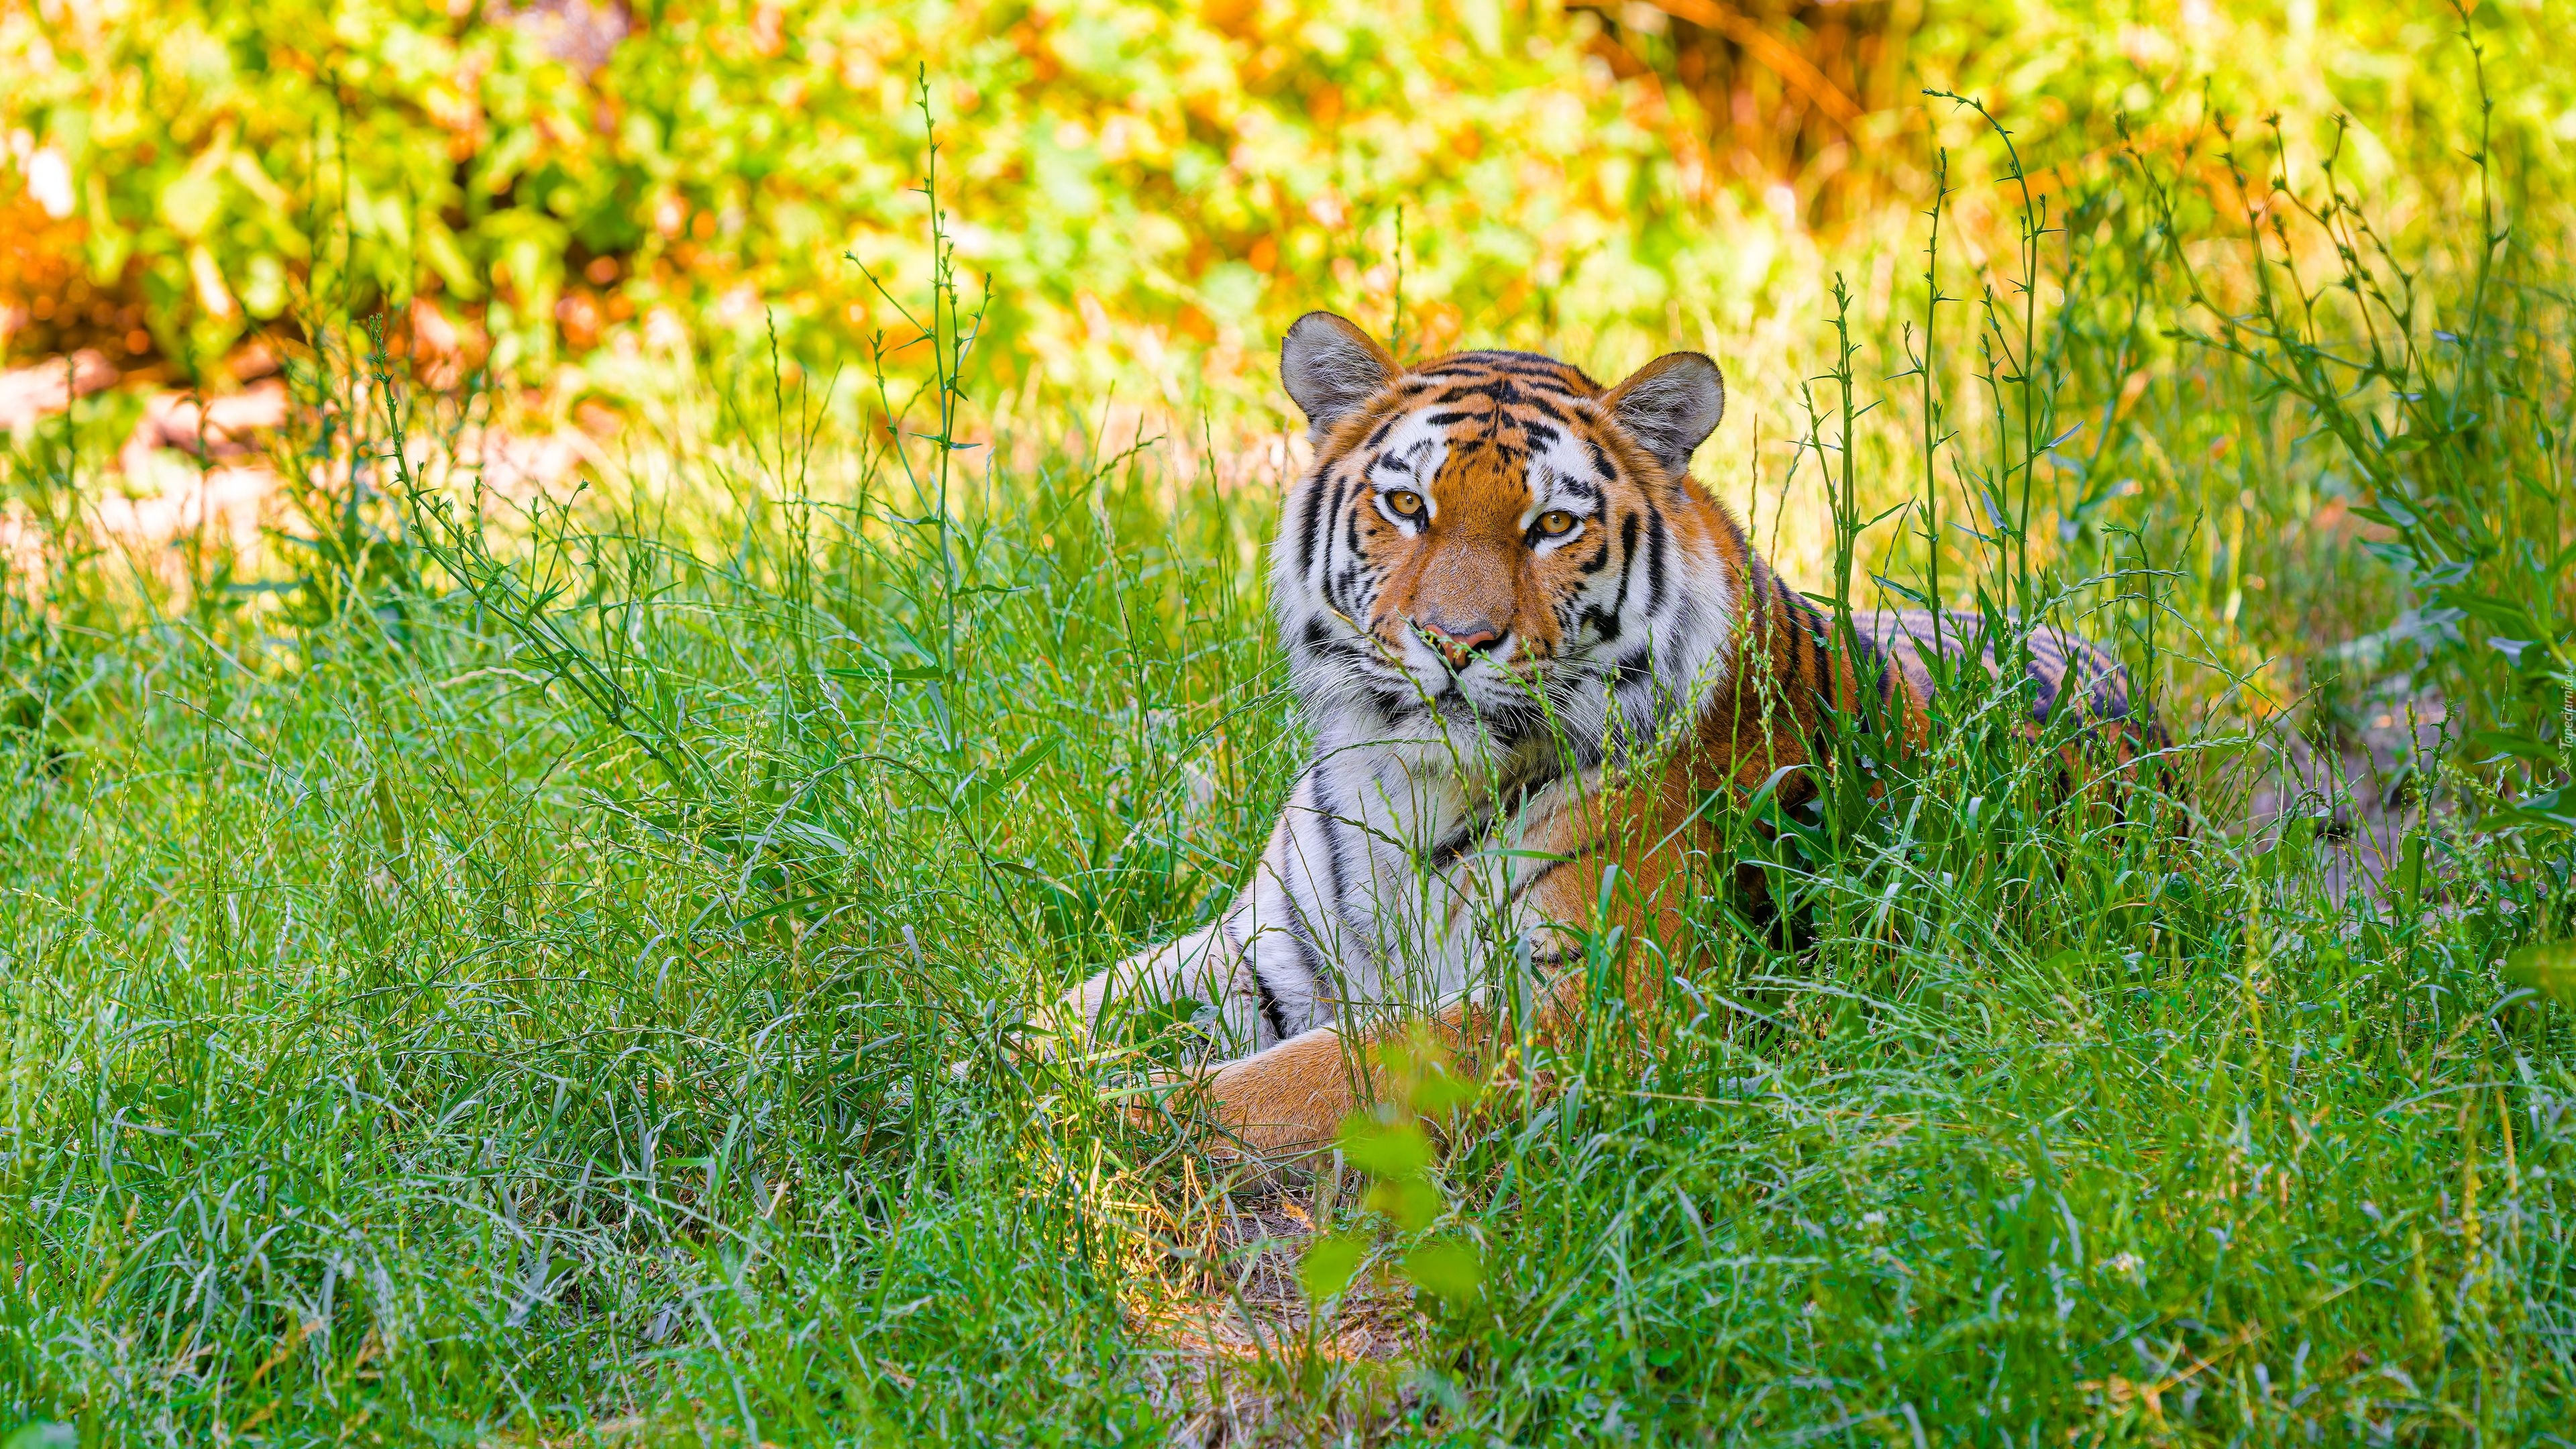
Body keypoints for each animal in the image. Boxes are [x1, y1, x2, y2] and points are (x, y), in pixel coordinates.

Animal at [1046, 313, 2153, 1150]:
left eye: (1552, 526)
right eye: (1406, 505)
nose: (1454, 642)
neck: (1407, 786)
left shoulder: (1603, 1002)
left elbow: (1315, 1074)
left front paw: (1092, 1126)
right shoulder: (1262, 951)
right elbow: (1076, 1005)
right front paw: (1010, 1071)